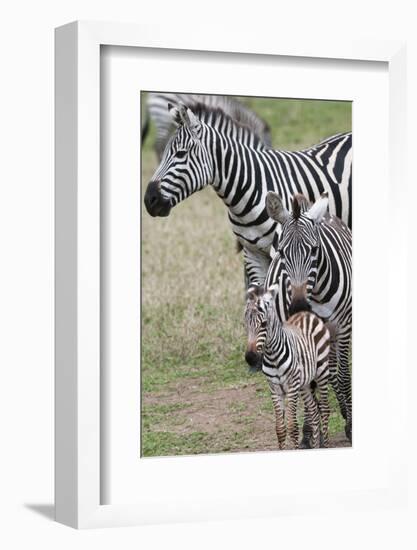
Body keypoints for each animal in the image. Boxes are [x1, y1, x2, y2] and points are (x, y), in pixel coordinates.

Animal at [242, 284, 330, 452]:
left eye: (264, 324)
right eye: (245, 325)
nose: (250, 358)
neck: (273, 356)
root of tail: (306, 313)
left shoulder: (291, 387)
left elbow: (292, 427)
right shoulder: (274, 388)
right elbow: (280, 429)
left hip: (321, 373)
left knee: (325, 410)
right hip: (304, 383)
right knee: (314, 412)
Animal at [264, 192, 352, 442]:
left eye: (314, 250)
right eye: (282, 252)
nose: (299, 305)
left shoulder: (344, 327)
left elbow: (343, 375)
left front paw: (350, 425)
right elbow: (308, 381)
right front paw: (308, 432)